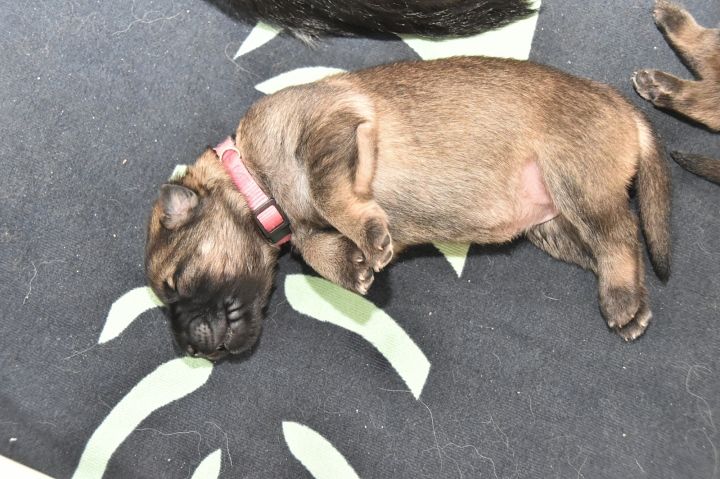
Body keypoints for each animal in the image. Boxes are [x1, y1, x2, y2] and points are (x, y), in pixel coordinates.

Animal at [145, 56, 672, 360]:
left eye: (175, 285)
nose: (190, 348)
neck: (252, 176)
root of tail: (624, 107)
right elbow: (317, 245)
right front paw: (352, 262)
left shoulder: (330, 129)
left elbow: (327, 192)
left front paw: (366, 236)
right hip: (555, 227)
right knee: (610, 246)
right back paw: (628, 294)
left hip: (574, 181)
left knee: (622, 235)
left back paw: (621, 299)